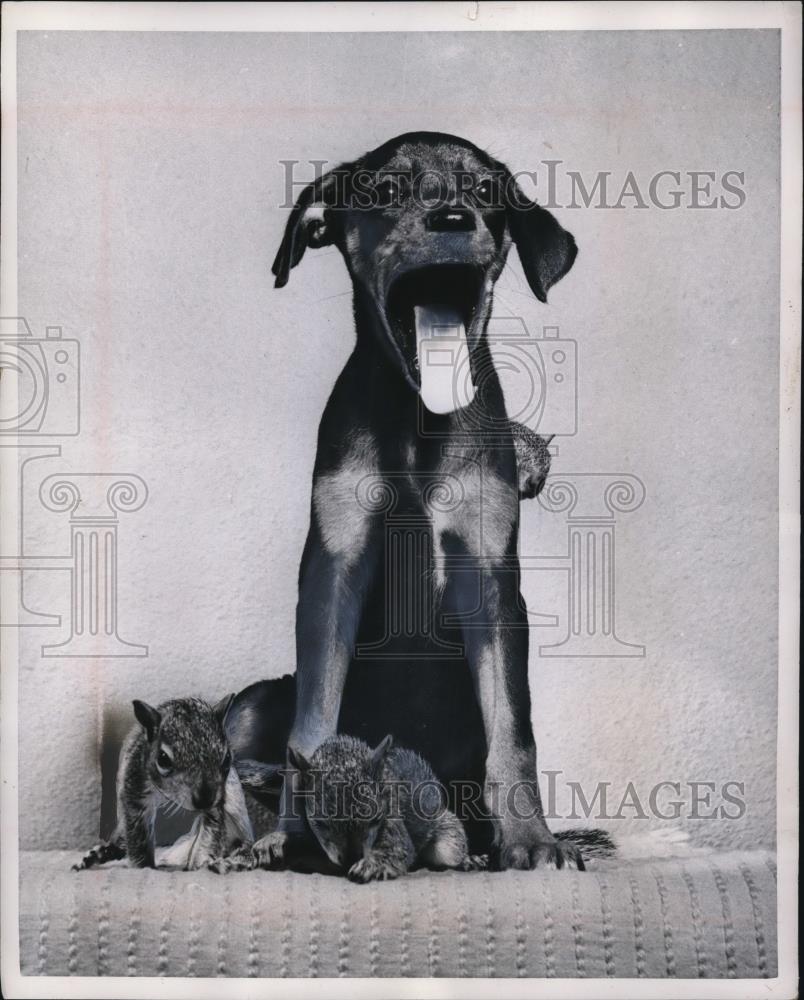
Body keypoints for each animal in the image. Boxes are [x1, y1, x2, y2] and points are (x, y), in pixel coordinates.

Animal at [74, 692, 280, 872]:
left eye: (227, 757)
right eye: (163, 759)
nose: (204, 799)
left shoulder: (216, 803)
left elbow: (209, 834)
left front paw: (199, 865)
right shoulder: (134, 788)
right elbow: (138, 835)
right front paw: (144, 867)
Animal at [258, 131, 576, 868]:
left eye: (486, 193)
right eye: (384, 192)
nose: (454, 219)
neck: (415, 420)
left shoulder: (490, 577)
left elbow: (513, 727)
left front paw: (531, 839)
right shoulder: (332, 574)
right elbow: (310, 726)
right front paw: (293, 834)